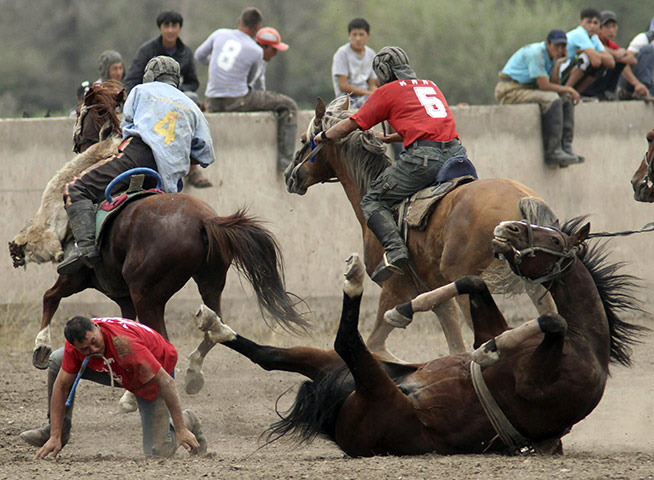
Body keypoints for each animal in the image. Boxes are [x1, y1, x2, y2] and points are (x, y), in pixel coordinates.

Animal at [8, 81, 308, 403]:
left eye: (81, 112)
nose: (77, 142)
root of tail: (205, 220)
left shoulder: (75, 277)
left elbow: (49, 297)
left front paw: (40, 348)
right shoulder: (123, 297)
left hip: (148, 294)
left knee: (164, 338)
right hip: (209, 281)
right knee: (213, 325)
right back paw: (192, 372)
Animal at [200, 218, 646, 457]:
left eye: (553, 238)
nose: (509, 227)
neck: (589, 346)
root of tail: (332, 411)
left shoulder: (537, 384)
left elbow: (553, 323)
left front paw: (490, 351)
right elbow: (471, 284)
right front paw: (409, 308)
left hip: (376, 389)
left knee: (346, 342)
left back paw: (354, 281)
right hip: (337, 365)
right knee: (272, 355)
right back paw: (215, 326)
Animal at [284, 97, 558, 360]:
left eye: (304, 139)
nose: (289, 176)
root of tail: (522, 199)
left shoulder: (395, 291)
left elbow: (377, 345)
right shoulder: (437, 298)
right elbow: (455, 347)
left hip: (463, 278)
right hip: (531, 283)